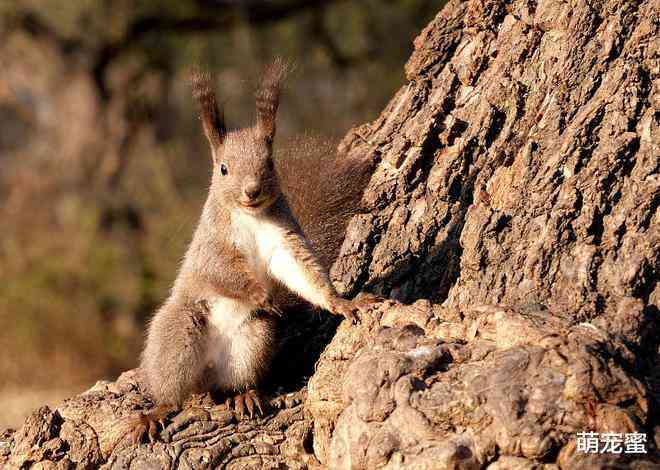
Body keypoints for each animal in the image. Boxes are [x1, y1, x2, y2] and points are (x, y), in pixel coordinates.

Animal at [129, 60, 376, 442]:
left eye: (269, 163)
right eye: (223, 168)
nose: (252, 191)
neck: (251, 217)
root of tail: (207, 372)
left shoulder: (283, 239)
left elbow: (302, 271)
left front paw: (341, 303)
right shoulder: (212, 246)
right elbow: (224, 272)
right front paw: (262, 295)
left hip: (254, 338)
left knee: (232, 383)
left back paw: (243, 395)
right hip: (179, 332)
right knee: (172, 388)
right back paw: (156, 411)